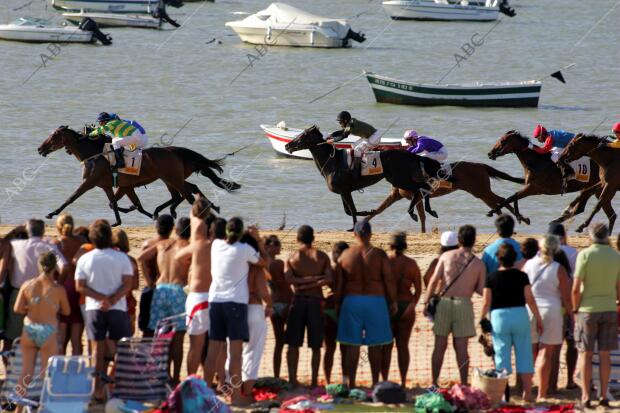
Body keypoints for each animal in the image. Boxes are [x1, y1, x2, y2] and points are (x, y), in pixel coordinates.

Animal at [37, 125, 240, 225]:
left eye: (53, 136)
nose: (40, 148)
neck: (95, 155)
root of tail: (174, 151)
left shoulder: (90, 182)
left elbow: (71, 197)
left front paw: (52, 213)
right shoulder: (112, 185)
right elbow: (115, 203)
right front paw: (118, 221)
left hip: (172, 178)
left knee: (187, 196)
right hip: (172, 179)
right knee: (187, 192)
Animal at [284, 124, 448, 230]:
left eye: (303, 135)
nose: (287, 146)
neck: (332, 162)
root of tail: (412, 154)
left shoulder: (345, 191)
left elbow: (351, 210)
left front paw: (358, 223)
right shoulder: (344, 192)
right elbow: (349, 210)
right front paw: (367, 213)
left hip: (398, 178)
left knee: (421, 187)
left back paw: (415, 212)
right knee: (421, 188)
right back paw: (426, 211)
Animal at [360, 161, 524, 232]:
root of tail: (481, 165)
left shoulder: (417, 195)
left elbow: (420, 215)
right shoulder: (396, 195)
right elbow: (378, 210)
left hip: (480, 190)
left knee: (501, 200)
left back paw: (520, 218)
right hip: (480, 192)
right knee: (496, 205)